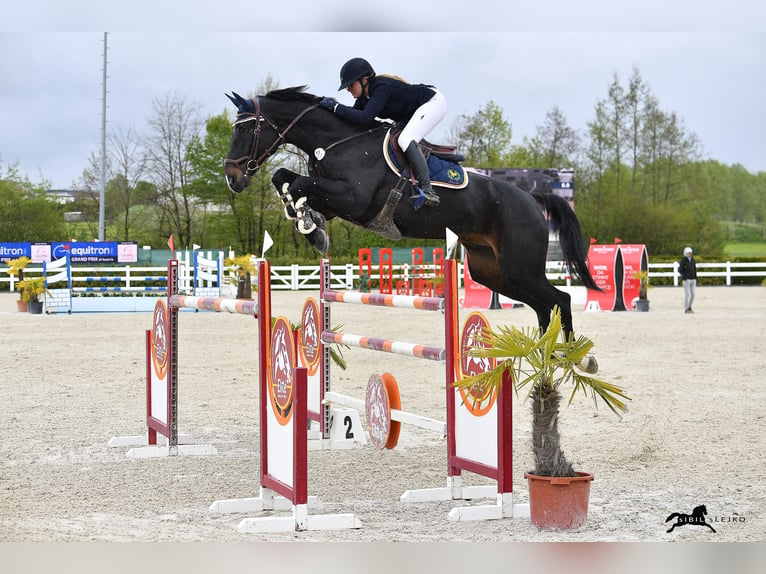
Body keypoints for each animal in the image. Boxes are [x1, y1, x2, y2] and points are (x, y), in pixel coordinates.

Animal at [225, 86, 604, 338]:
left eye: (244, 128)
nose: (232, 178)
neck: (338, 142)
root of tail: (531, 198)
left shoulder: (353, 200)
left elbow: (300, 183)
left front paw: (307, 223)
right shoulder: (335, 203)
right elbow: (285, 178)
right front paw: (308, 224)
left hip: (519, 266)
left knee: (560, 299)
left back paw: (570, 360)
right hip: (492, 271)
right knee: (543, 306)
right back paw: (544, 358)